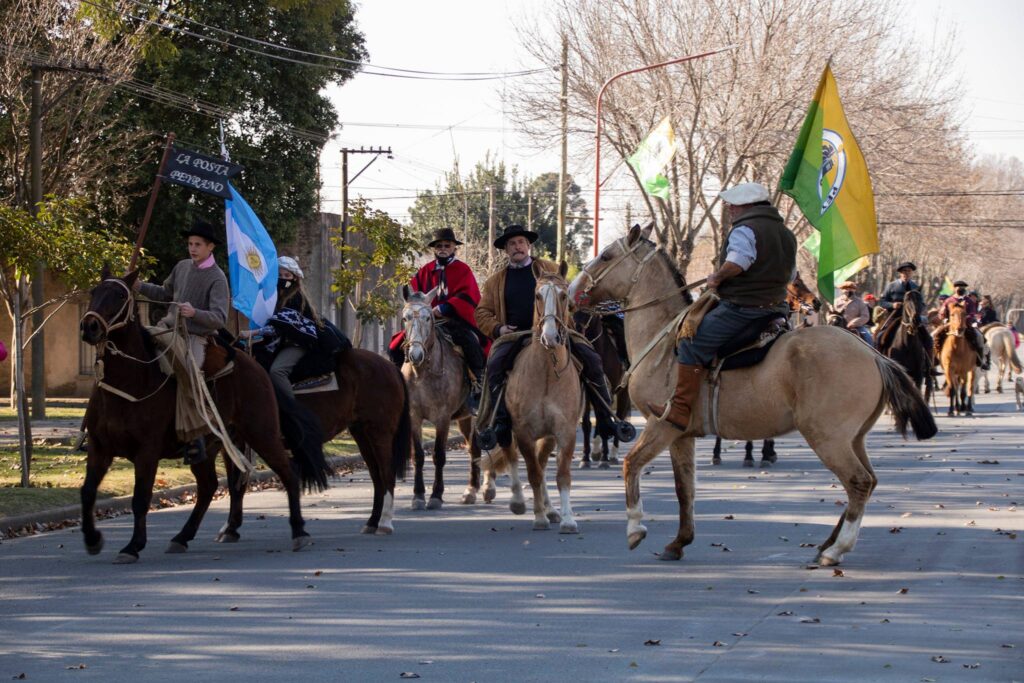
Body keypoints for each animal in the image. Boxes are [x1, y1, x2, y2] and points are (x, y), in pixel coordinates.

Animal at [78, 270, 331, 565]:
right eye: (94, 291)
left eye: (120, 295)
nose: (89, 327)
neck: (132, 380)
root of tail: (257, 367)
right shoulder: (99, 449)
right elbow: (87, 492)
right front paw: (92, 539)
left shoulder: (147, 452)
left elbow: (141, 498)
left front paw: (132, 546)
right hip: (212, 446)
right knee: (209, 486)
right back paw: (181, 537)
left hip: (262, 433)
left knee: (288, 471)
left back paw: (299, 531)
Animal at [399, 286, 487, 509]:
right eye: (405, 318)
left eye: (428, 317)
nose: (415, 355)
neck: (423, 372)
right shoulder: (414, 416)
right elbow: (418, 456)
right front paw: (418, 495)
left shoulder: (443, 418)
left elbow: (439, 455)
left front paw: (436, 495)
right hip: (465, 418)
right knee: (474, 448)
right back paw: (470, 490)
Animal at [569, 227, 937, 569]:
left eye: (606, 256)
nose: (572, 291)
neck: (664, 346)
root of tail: (873, 354)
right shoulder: (681, 435)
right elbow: (684, 488)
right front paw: (679, 542)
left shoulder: (662, 426)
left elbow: (632, 464)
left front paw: (635, 529)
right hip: (853, 438)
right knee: (866, 482)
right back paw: (827, 544)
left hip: (828, 438)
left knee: (857, 482)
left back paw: (835, 550)